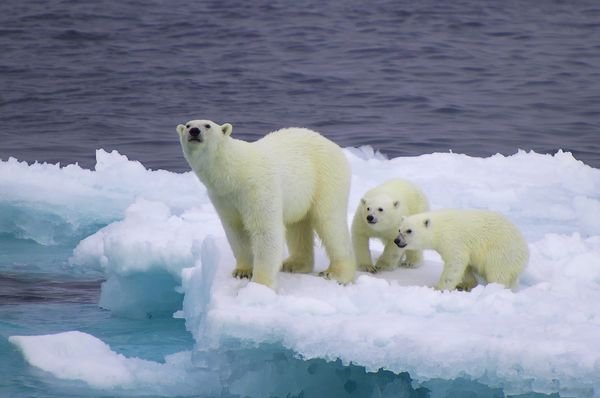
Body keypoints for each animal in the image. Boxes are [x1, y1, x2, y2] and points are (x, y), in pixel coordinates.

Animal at [178, 119, 356, 288]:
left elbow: (265, 231)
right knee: (298, 225)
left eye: (207, 125)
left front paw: (259, 284)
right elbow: (236, 230)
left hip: (325, 177)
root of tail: (333, 145)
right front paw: (242, 271)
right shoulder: (223, 198)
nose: (194, 131)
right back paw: (294, 264)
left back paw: (336, 274)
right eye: (187, 125)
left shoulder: (257, 188)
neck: (234, 173)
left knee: (330, 222)